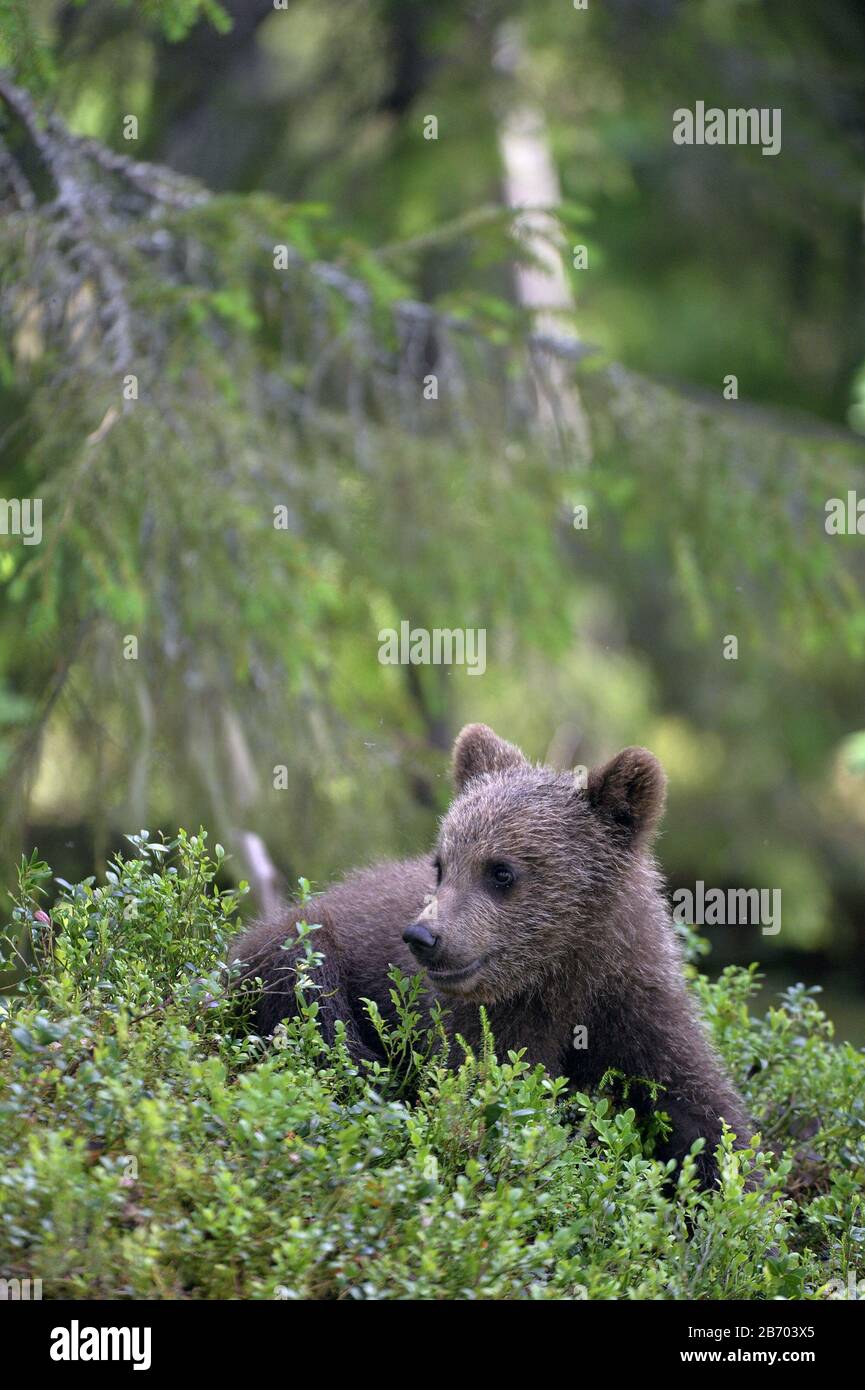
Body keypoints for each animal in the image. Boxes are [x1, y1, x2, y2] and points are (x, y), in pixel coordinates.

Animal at [231, 723, 753, 1186]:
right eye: (442, 865)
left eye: (501, 871)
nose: (423, 936)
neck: (562, 975)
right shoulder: (484, 1023)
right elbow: (488, 1095)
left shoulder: (637, 1004)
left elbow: (702, 1113)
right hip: (298, 948)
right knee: (318, 1008)